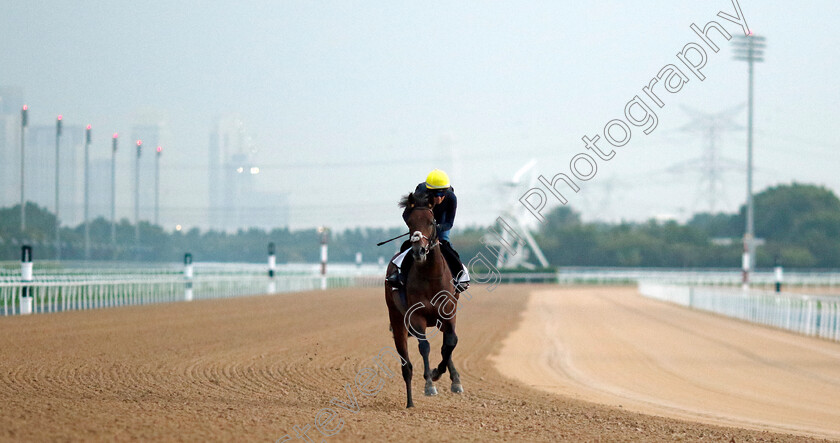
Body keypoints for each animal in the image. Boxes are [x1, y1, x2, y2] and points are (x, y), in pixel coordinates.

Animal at [386, 193, 462, 408]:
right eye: (410, 222)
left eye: (431, 221)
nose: (418, 251)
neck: (431, 276)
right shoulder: (416, 316)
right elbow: (425, 347)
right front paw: (429, 383)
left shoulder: (448, 313)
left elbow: (450, 343)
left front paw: (442, 375)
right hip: (397, 320)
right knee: (406, 364)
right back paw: (410, 402)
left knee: (447, 344)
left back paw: (454, 378)